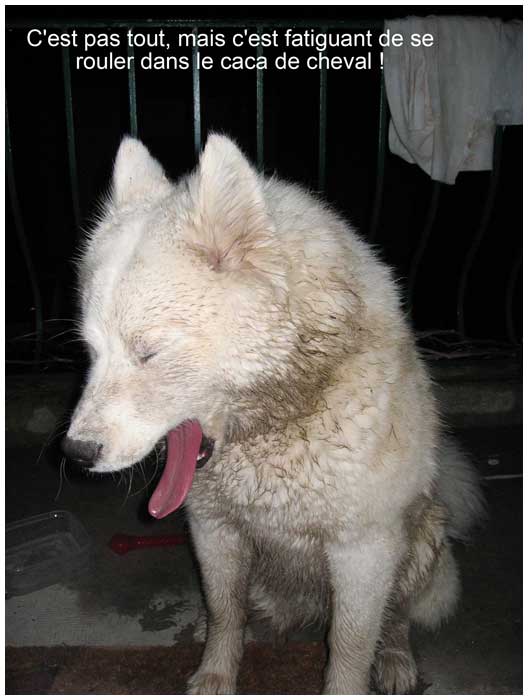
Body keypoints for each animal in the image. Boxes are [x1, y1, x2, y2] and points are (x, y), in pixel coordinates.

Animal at [62, 135, 482, 696]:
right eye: (90, 352)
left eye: (148, 352)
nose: (75, 453)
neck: (274, 424)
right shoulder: (213, 529)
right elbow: (224, 613)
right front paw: (215, 675)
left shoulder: (363, 552)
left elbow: (350, 647)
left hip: (419, 543)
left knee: (396, 619)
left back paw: (395, 659)